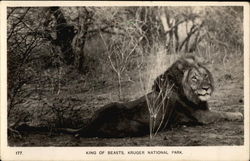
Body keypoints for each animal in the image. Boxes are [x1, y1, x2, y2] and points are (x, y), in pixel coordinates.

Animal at [59, 55, 243, 137]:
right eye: (194, 78)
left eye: (205, 76)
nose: (206, 88)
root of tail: (88, 124)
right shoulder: (201, 116)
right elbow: (223, 113)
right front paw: (239, 114)